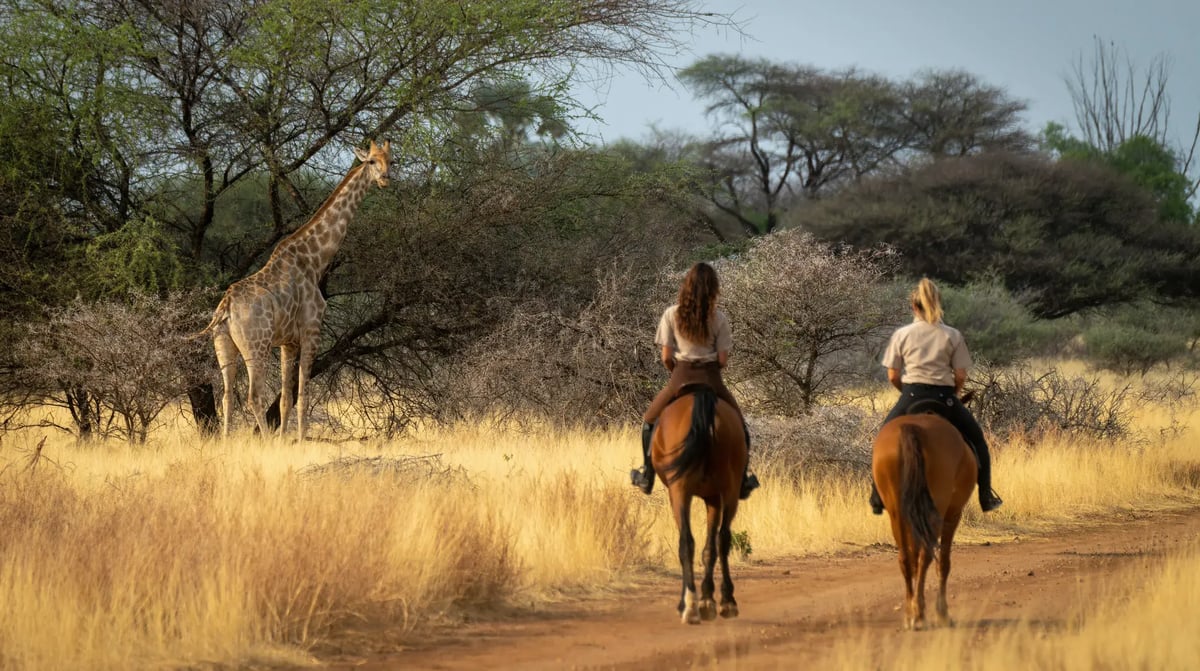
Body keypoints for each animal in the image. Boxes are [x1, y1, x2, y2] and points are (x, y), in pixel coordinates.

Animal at [651, 385, 748, 625]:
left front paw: (702, 600)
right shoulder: (713, 497)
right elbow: (710, 548)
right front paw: (708, 600)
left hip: (679, 490)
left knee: (687, 541)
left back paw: (690, 605)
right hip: (729, 490)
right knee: (721, 539)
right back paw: (723, 603)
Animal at [872, 405, 977, 630]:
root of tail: (912, 429)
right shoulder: (952, 515)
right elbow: (944, 563)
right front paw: (943, 613)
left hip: (898, 513)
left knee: (906, 558)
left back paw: (911, 615)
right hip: (935, 513)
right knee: (926, 556)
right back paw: (920, 614)